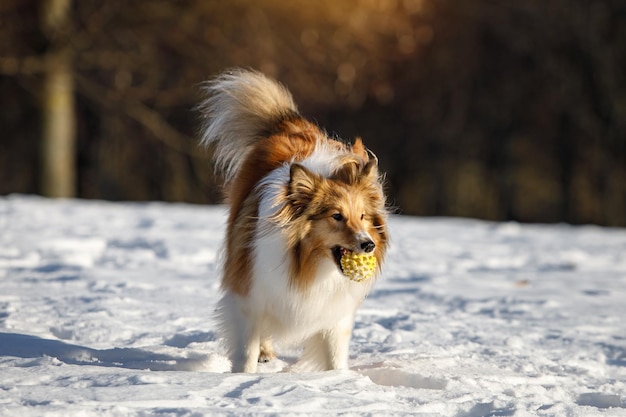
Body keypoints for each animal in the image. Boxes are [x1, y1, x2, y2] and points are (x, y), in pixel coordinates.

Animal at [199, 70, 386, 372]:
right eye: (336, 216)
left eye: (362, 216)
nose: (368, 245)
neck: (309, 267)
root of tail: (291, 124)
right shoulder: (249, 294)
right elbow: (246, 349)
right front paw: (242, 376)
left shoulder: (335, 313)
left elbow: (335, 354)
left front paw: (341, 378)